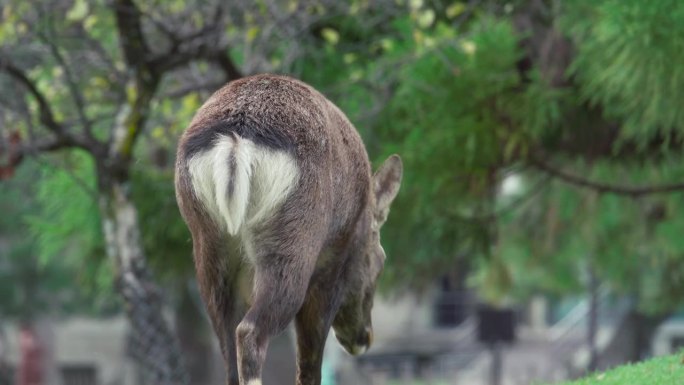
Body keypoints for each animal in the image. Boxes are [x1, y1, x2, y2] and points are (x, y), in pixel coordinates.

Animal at [174, 74, 404, 384]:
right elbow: (310, 362)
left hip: (208, 245)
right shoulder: (330, 267)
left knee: (227, 348)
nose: (363, 338)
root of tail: (234, 143)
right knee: (251, 332)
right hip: (291, 244)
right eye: (380, 261)